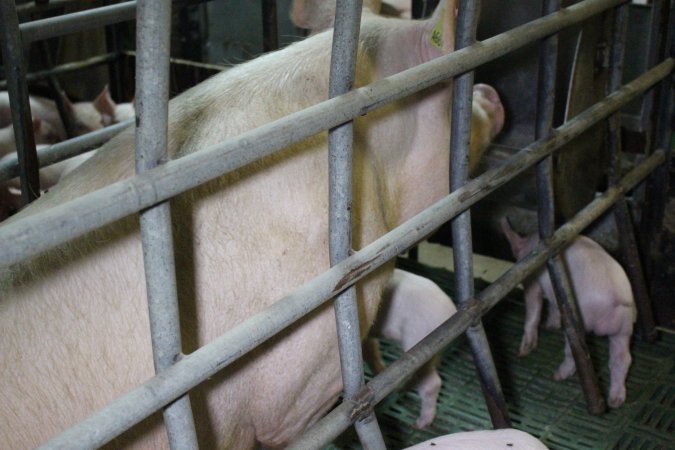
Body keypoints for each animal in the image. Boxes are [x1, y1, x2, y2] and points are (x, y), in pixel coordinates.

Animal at [368, 268, 456, 428]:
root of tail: (450, 311)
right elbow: (371, 351)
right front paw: (380, 370)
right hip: (434, 350)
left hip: (418, 341)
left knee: (433, 383)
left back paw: (419, 424)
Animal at [502, 216, 640, 410]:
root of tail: (618, 294)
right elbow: (553, 305)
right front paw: (551, 326)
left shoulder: (533, 279)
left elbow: (533, 308)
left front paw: (523, 352)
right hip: (624, 326)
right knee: (622, 359)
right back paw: (615, 401)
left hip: (582, 319)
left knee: (575, 351)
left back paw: (558, 375)